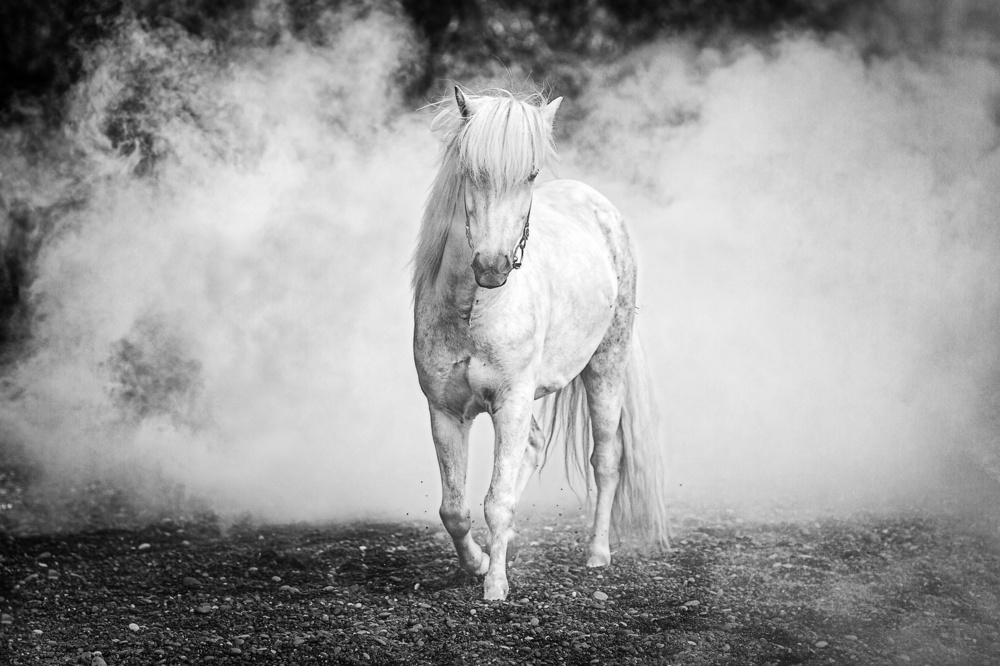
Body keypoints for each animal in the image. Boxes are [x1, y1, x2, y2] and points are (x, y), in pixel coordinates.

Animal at [411, 85, 668, 601]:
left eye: (530, 174)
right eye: (470, 170)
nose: (492, 267)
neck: (474, 309)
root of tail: (600, 206)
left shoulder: (510, 402)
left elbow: (498, 501)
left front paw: (495, 587)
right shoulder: (444, 410)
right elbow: (455, 509)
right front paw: (479, 563)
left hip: (605, 368)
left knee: (605, 459)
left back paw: (597, 554)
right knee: (532, 448)